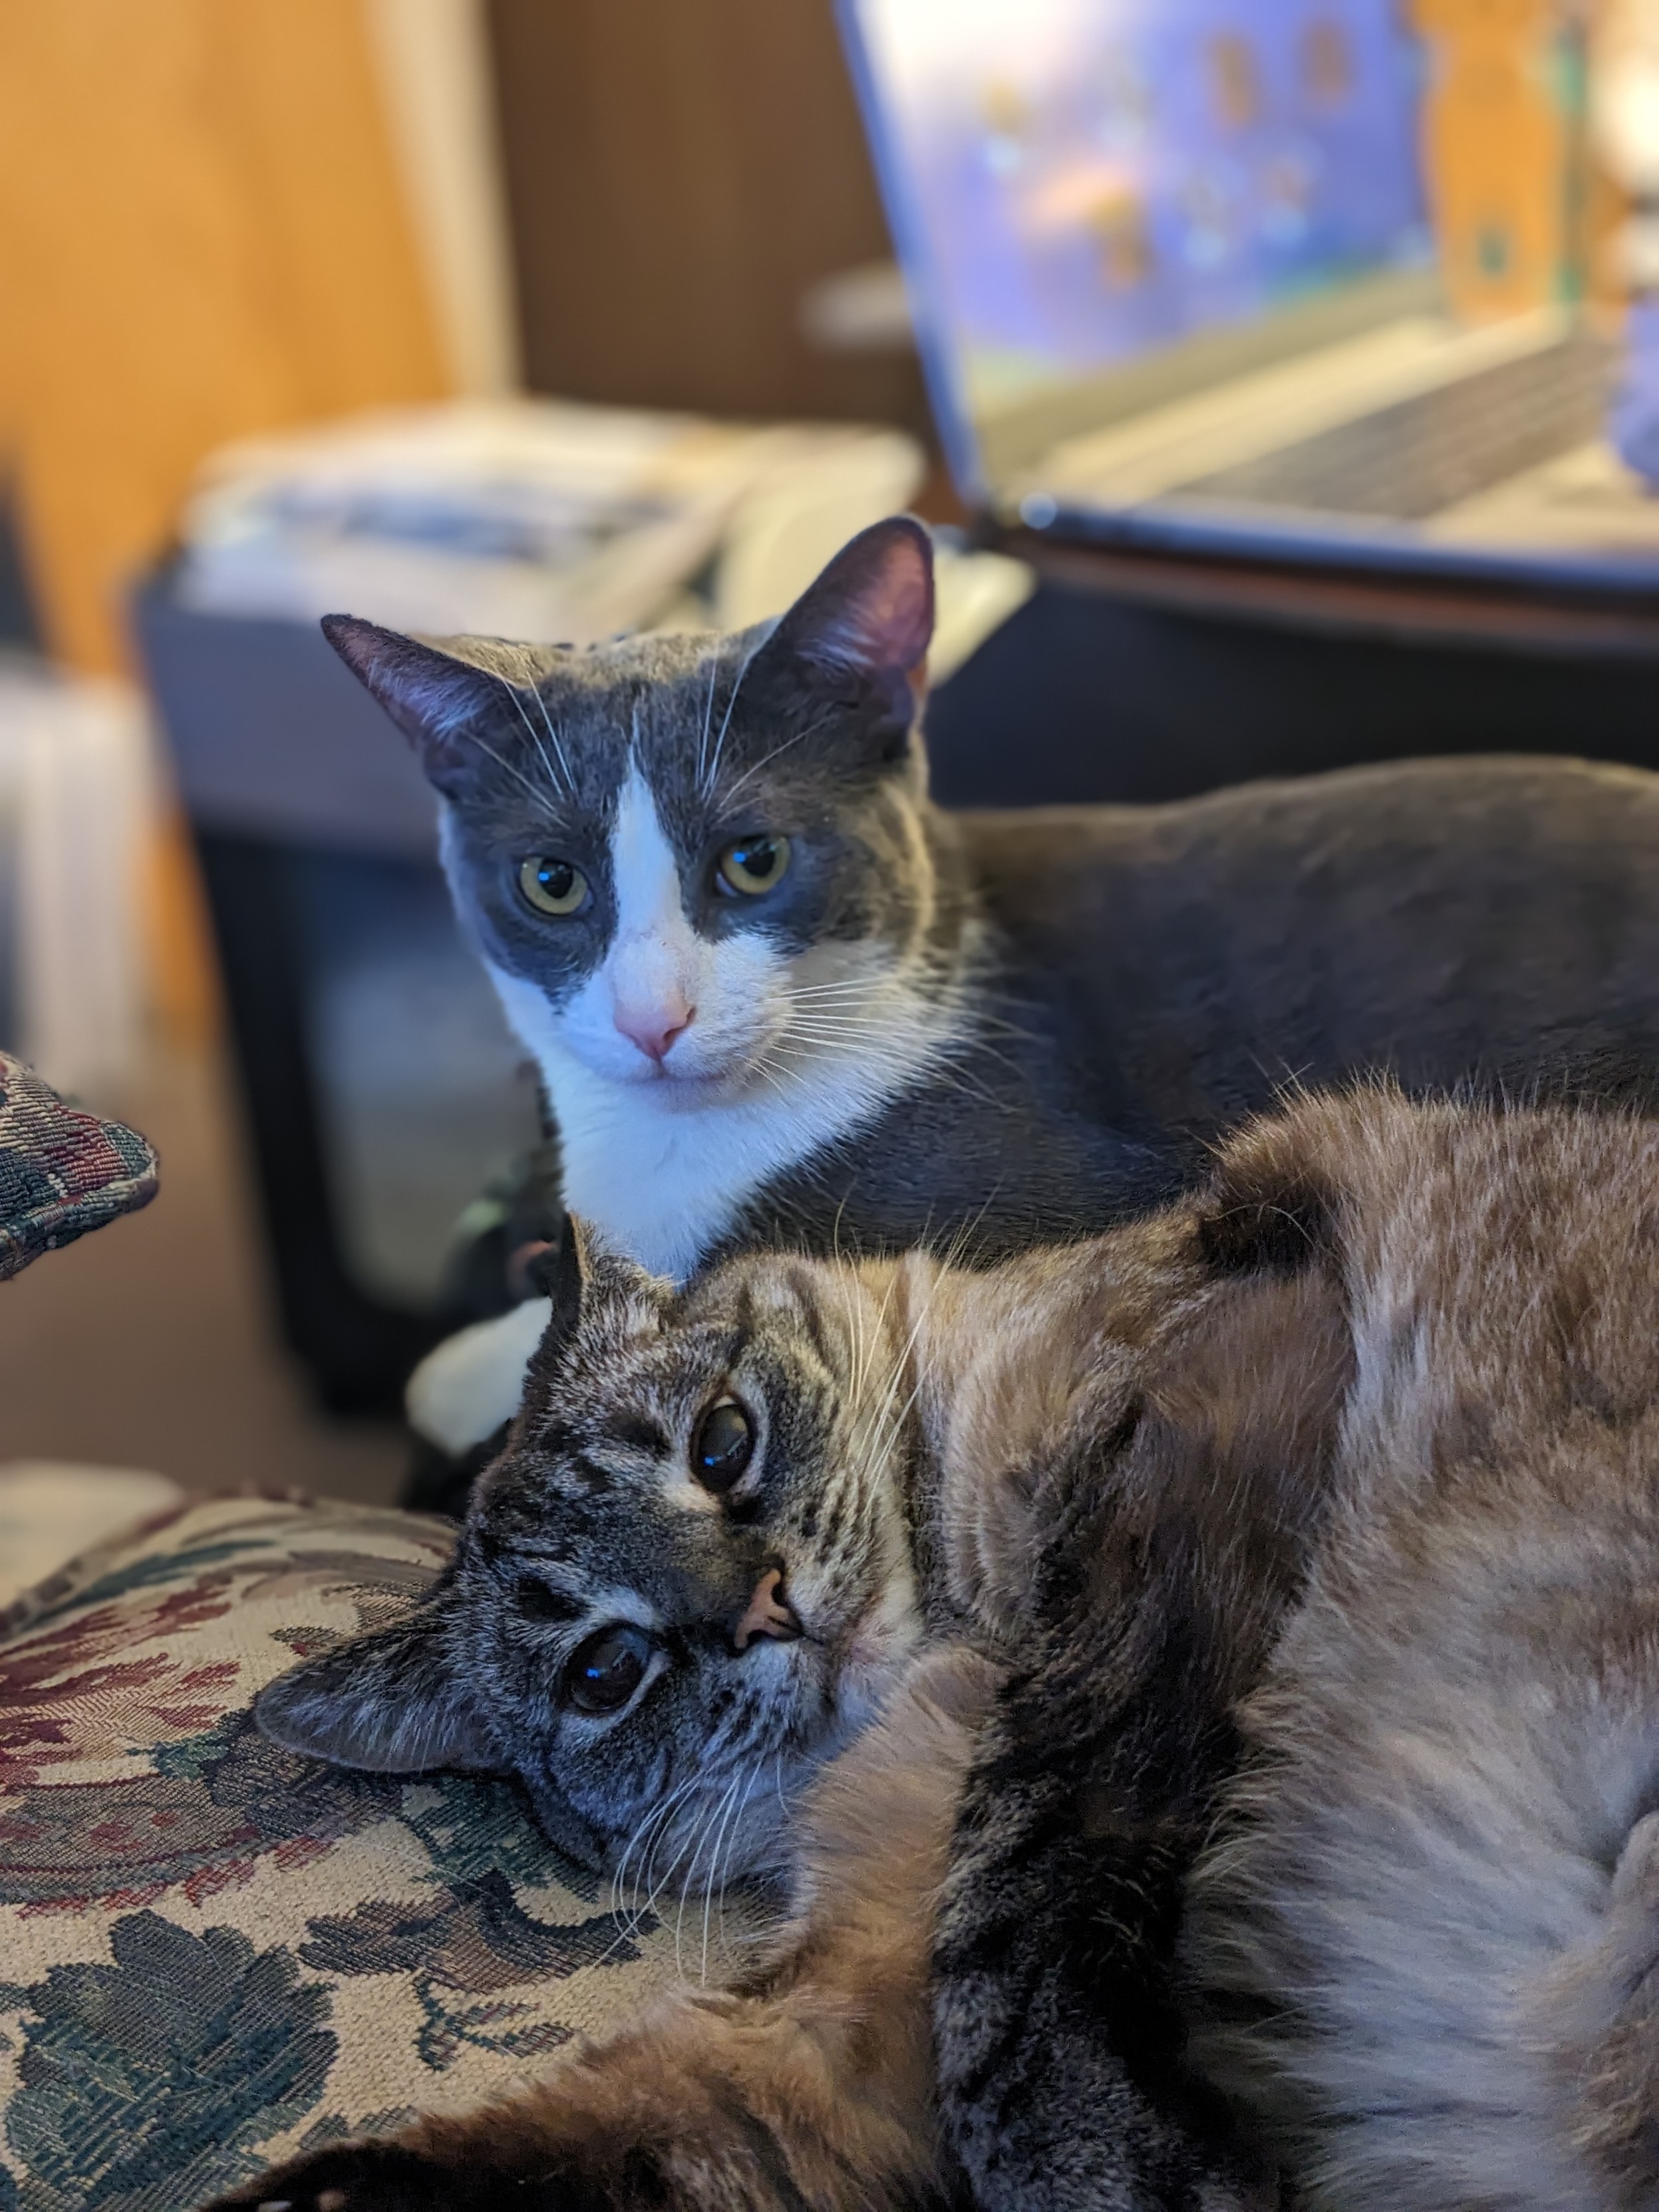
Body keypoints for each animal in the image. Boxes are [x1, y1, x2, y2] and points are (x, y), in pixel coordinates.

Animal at [214, 1092, 1659, 2212]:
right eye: (603, 1675)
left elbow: (1017, 1885)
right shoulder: (836, 2015)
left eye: (719, 1445)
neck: (934, 1668)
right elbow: (633, 2130)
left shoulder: (1153, 1497)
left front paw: (1092, 2160)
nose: (762, 1610)